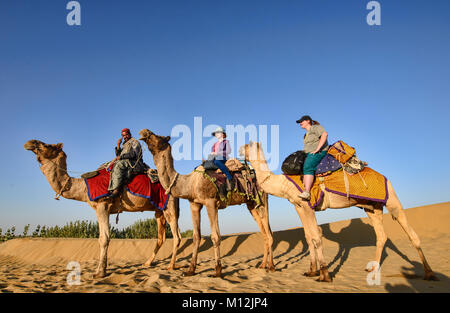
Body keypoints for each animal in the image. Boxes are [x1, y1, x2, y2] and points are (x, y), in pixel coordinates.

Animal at [23, 140, 182, 276]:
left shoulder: (103, 205)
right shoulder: (101, 209)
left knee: (177, 236)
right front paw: (102, 270)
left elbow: (104, 238)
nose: (29, 143)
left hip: (169, 205)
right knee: (161, 237)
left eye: (46, 145)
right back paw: (147, 263)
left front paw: (100, 272)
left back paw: (171, 266)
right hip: (159, 210)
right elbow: (102, 237)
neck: (83, 188)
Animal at [138, 128, 274, 276]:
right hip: (252, 204)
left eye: (158, 136)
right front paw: (190, 270)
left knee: (269, 232)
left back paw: (271, 266)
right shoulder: (194, 204)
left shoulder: (211, 202)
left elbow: (215, 236)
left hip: (262, 198)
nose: (144, 132)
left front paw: (218, 271)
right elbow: (196, 236)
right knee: (264, 233)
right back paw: (262, 265)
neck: (190, 182)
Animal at [241, 141, 438, 280]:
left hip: (391, 199)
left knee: (410, 232)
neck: (282, 183)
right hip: (372, 207)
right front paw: (311, 271)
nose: (239, 150)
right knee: (381, 236)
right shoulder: (298, 206)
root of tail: (385, 177)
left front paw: (324, 275)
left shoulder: (306, 205)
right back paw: (372, 268)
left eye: (246, 146)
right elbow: (308, 236)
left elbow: (316, 236)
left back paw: (429, 273)